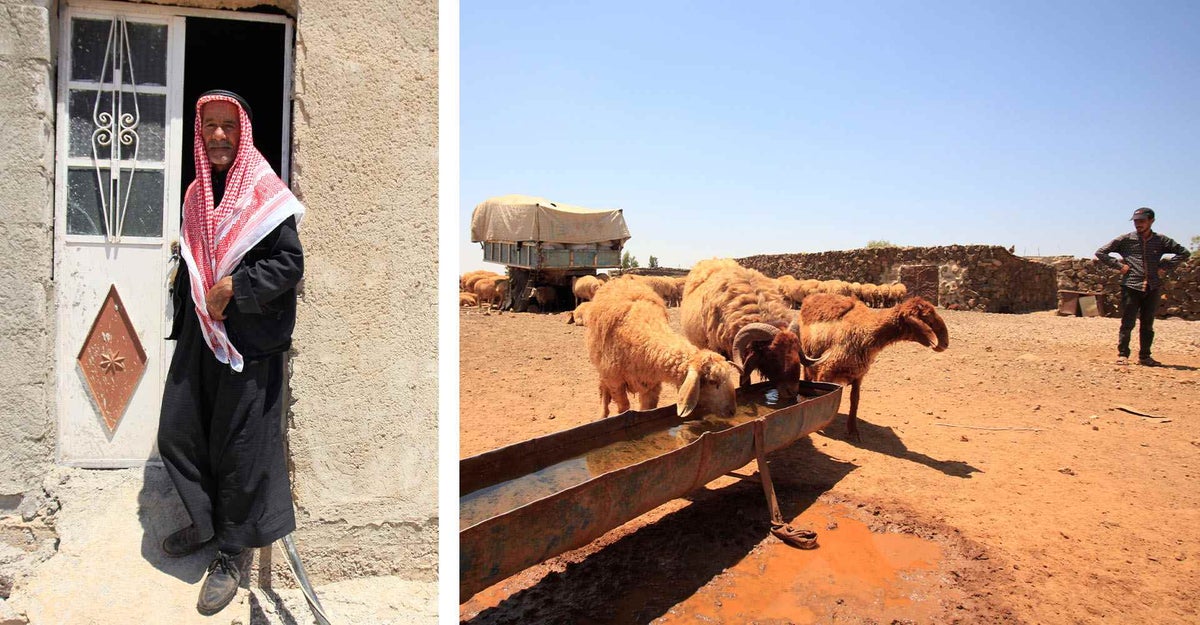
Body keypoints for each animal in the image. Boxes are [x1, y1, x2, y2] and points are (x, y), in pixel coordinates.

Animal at [588, 275, 744, 417]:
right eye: (712, 381)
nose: (732, 411)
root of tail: (620, 279)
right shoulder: (616, 382)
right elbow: (623, 407)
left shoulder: (651, 387)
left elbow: (646, 409)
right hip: (601, 365)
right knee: (603, 388)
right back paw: (602, 414)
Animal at [796, 292, 945, 439]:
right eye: (927, 320)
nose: (944, 344)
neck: (867, 333)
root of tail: (812, 296)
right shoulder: (826, 371)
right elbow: (823, 396)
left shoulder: (858, 374)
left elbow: (855, 400)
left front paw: (853, 430)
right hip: (808, 358)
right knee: (808, 378)